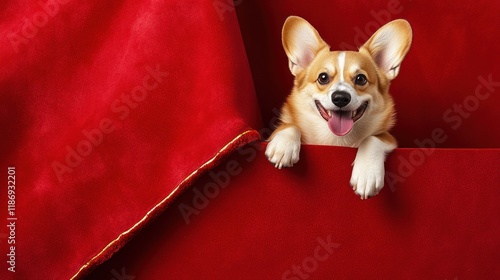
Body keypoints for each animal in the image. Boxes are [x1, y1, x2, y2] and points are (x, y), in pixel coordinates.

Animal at [268, 16, 412, 199]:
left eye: (361, 79)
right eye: (323, 77)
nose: (341, 98)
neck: (337, 140)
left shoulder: (389, 138)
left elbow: (372, 138)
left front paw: (367, 173)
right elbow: (289, 125)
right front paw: (283, 146)